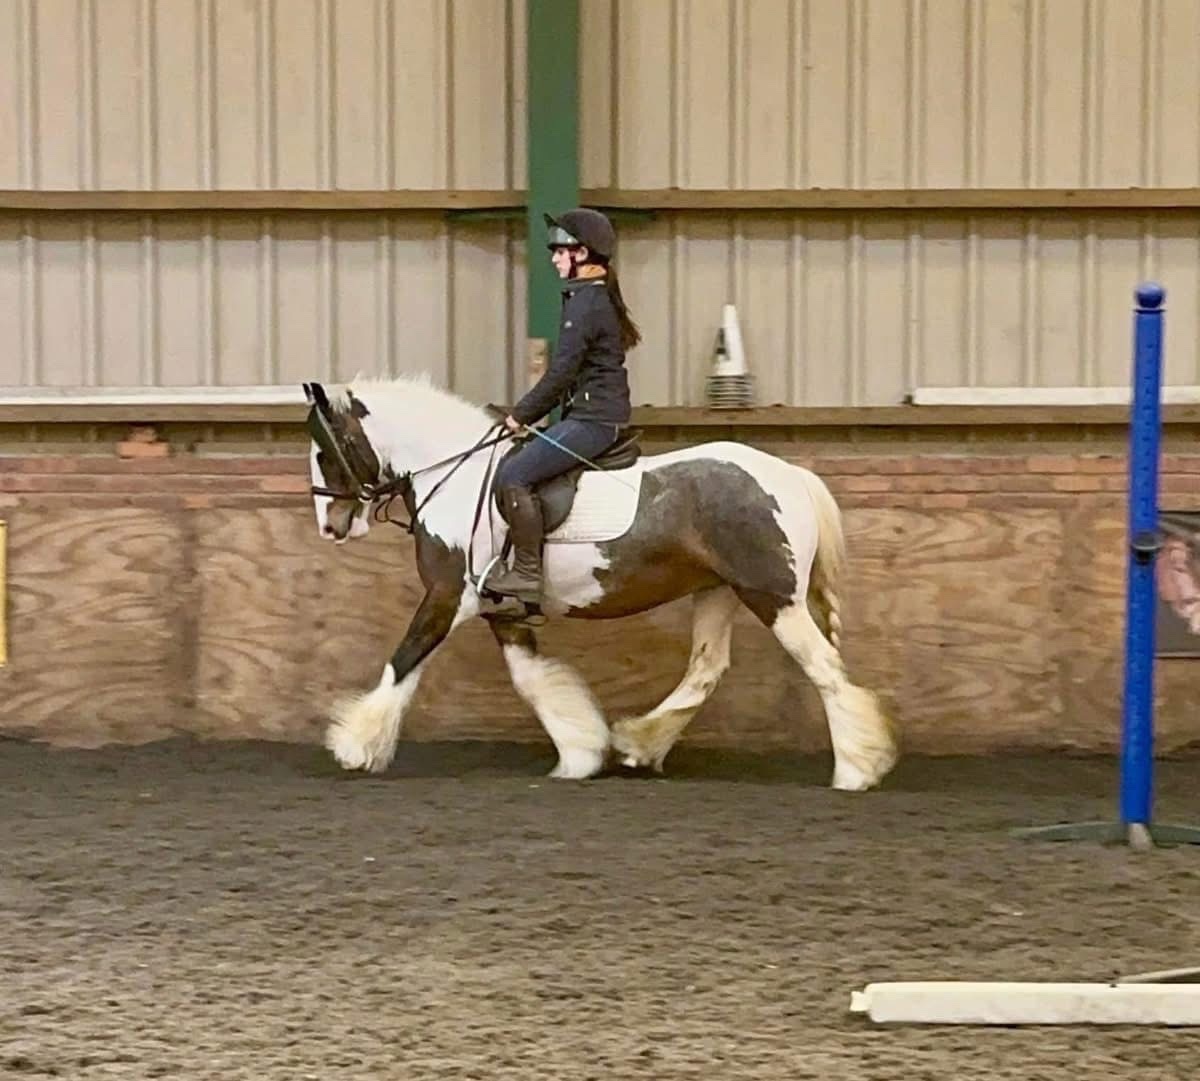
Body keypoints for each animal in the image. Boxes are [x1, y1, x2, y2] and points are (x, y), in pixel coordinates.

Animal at [303, 373, 899, 790]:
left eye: (325, 451)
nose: (330, 526)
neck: (456, 478)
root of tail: (789, 474)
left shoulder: (448, 597)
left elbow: (403, 660)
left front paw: (355, 745)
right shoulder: (501, 611)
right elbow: (533, 681)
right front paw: (580, 753)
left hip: (773, 597)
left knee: (823, 669)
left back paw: (856, 770)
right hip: (717, 591)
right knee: (706, 669)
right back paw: (639, 744)